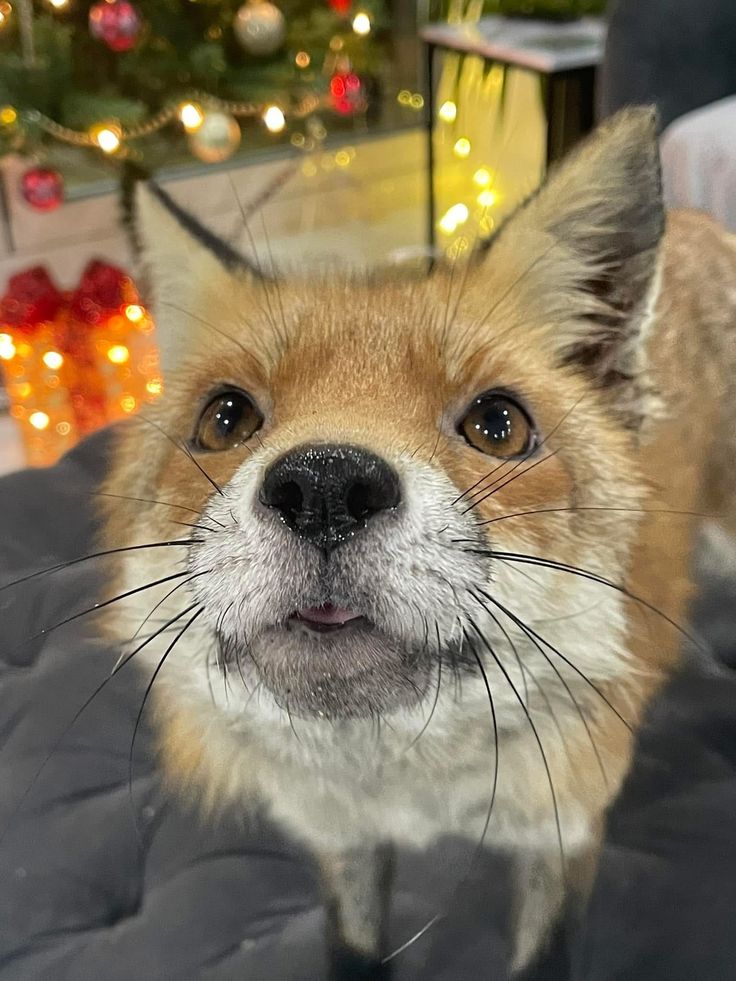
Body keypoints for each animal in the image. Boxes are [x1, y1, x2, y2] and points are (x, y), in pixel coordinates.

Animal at [100, 107, 736, 977]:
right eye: (226, 418)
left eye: (498, 425)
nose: (324, 486)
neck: (411, 787)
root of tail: (703, 222)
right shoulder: (343, 839)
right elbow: (353, 946)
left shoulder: (564, 825)